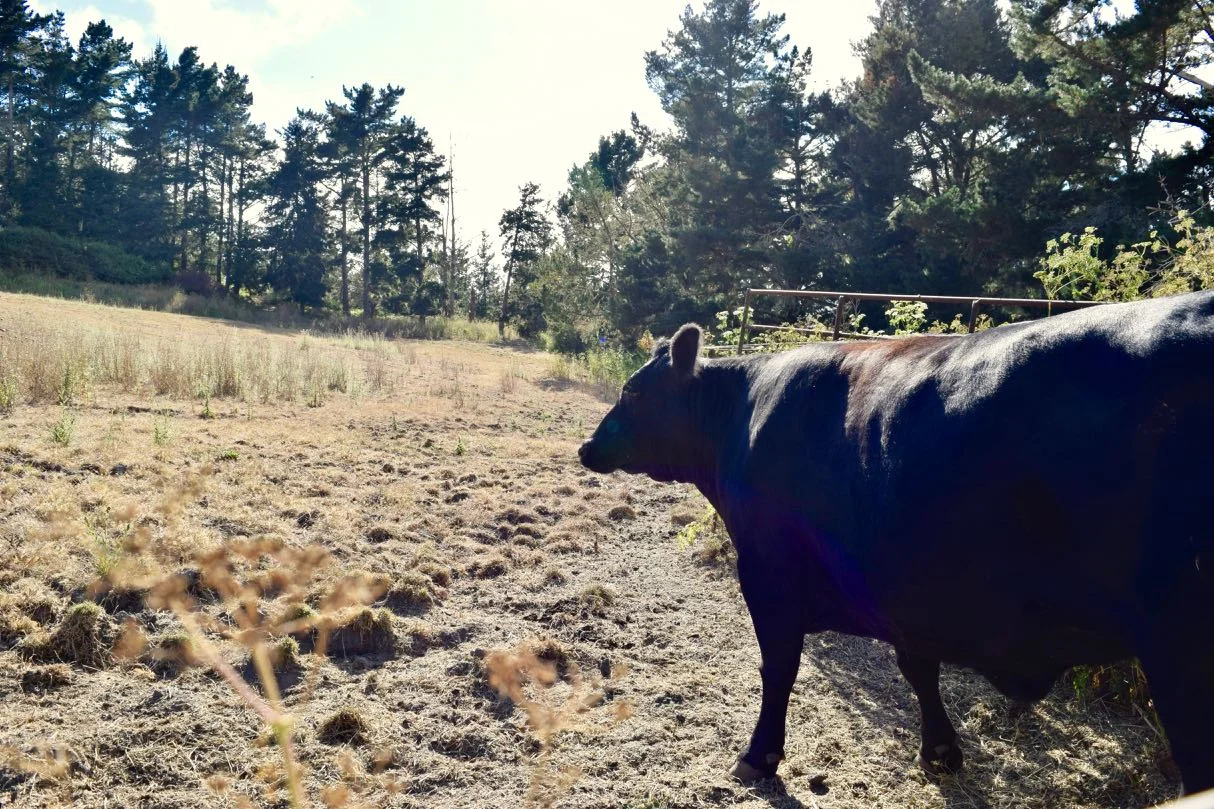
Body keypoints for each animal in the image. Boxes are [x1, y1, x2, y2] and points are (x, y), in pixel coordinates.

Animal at [578, 291, 1214, 795]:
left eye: (634, 393)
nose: (586, 447)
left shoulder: (767, 569)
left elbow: (778, 665)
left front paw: (759, 756)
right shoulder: (903, 585)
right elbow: (918, 666)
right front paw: (941, 752)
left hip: (1179, 645)